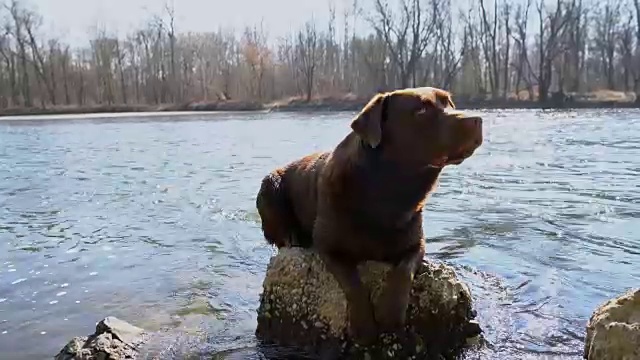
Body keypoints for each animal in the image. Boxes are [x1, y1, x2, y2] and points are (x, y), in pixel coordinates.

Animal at [258, 86, 482, 344]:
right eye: (421, 110)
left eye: (450, 104)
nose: (477, 119)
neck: (386, 191)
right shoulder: (328, 247)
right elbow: (353, 283)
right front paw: (364, 325)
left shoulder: (417, 243)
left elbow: (404, 270)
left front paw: (391, 312)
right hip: (270, 184)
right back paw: (293, 237)